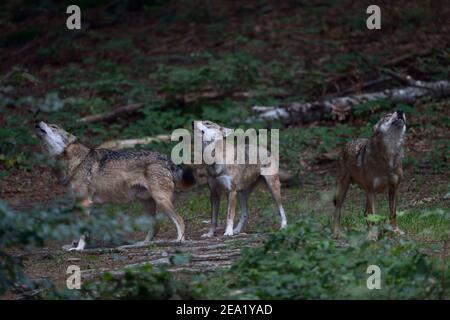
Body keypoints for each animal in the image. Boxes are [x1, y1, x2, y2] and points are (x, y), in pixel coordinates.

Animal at [32, 120, 192, 250]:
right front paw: (74, 244)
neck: (74, 162)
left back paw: (179, 241)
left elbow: (83, 232)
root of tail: (165, 158)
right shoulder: (78, 204)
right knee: (156, 227)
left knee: (180, 220)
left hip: (161, 200)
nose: (37, 121)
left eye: (53, 127)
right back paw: (142, 244)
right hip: (147, 204)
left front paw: (78, 248)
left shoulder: (84, 203)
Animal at [330, 109, 408, 238]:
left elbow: (393, 214)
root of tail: (348, 142)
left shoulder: (394, 189)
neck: (389, 157)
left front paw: (396, 231)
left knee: (365, 212)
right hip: (343, 191)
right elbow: (373, 217)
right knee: (337, 212)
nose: (400, 111)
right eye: (387, 116)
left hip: (366, 193)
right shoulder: (372, 191)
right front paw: (372, 236)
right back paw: (337, 233)